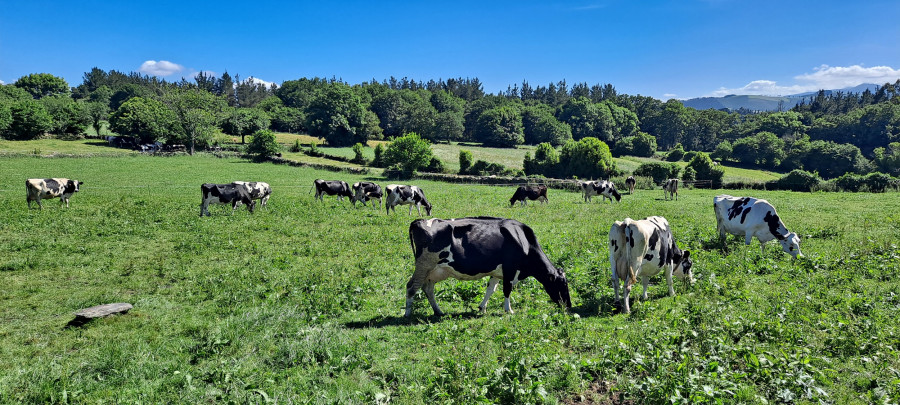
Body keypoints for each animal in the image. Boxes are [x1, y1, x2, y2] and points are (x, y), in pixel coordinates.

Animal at [406, 218, 568, 316]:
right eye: (562, 285)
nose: (569, 306)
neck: (523, 241)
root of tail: (419, 221)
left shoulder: (497, 272)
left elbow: (491, 290)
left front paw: (482, 308)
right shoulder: (510, 270)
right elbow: (507, 290)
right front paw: (509, 310)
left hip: (433, 272)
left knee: (428, 289)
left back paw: (438, 311)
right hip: (424, 266)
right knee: (411, 287)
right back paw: (407, 313)